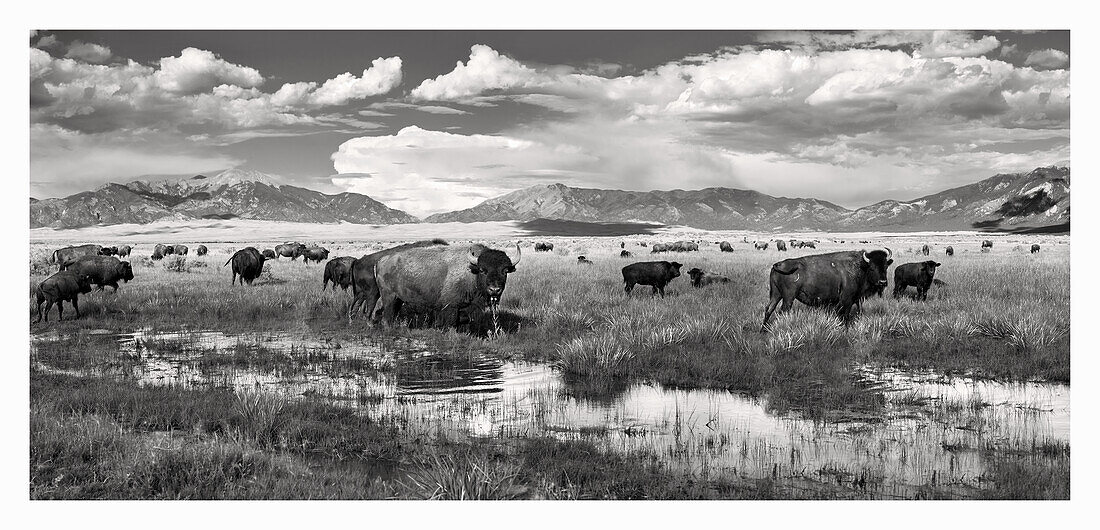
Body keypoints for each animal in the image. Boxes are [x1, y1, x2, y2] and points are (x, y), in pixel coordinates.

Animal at [374, 240, 519, 327]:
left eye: (505, 271)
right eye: (483, 270)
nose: (494, 289)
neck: (472, 271)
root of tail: (381, 261)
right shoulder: (451, 307)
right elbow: (452, 322)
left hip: (398, 300)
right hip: (390, 298)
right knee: (386, 317)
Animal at [765, 249, 893, 332]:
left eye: (886, 266)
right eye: (872, 267)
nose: (883, 282)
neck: (861, 267)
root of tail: (777, 264)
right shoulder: (847, 300)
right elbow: (844, 315)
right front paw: (845, 330)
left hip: (776, 294)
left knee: (769, 309)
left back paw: (763, 330)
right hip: (788, 298)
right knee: (782, 311)